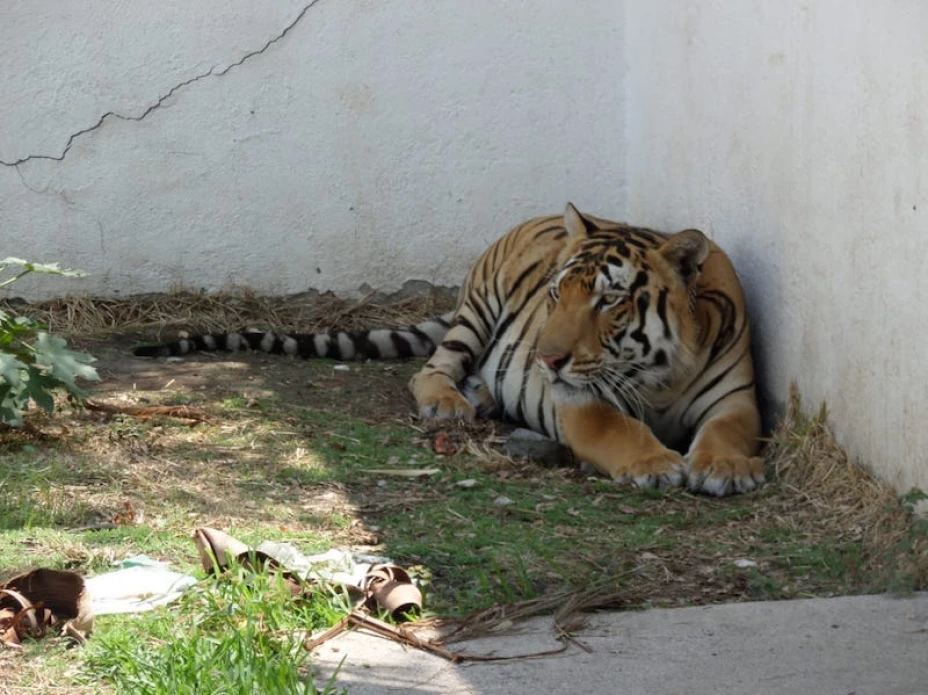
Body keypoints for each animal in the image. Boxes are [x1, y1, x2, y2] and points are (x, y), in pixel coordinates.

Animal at [134, 203, 764, 496]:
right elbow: (619, 429)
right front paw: (655, 465)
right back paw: (450, 403)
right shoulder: (579, 399)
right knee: (429, 370)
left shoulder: (736, 398)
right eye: (557, 295)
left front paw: (725, 468)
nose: (546, 360)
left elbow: (729, 432)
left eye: (609, 300)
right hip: (478, 314)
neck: (660, 375)